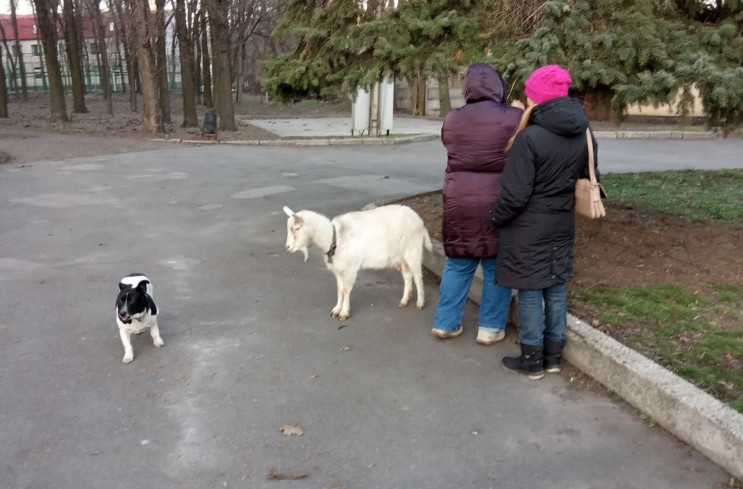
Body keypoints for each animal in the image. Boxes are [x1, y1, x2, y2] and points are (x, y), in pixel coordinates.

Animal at [284, 203, 436, 320]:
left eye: (297, 228)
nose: (287, 247)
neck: (335, 238)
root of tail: (420, 223)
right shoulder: (338, 270)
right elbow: (339, 290)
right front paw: (336, 310)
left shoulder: (351, 268)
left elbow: (346, 290)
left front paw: (344, 313)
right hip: (399, 257)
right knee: (408, 276)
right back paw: (404, 301)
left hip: (413, 252)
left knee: (418, 276)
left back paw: (420, 303)